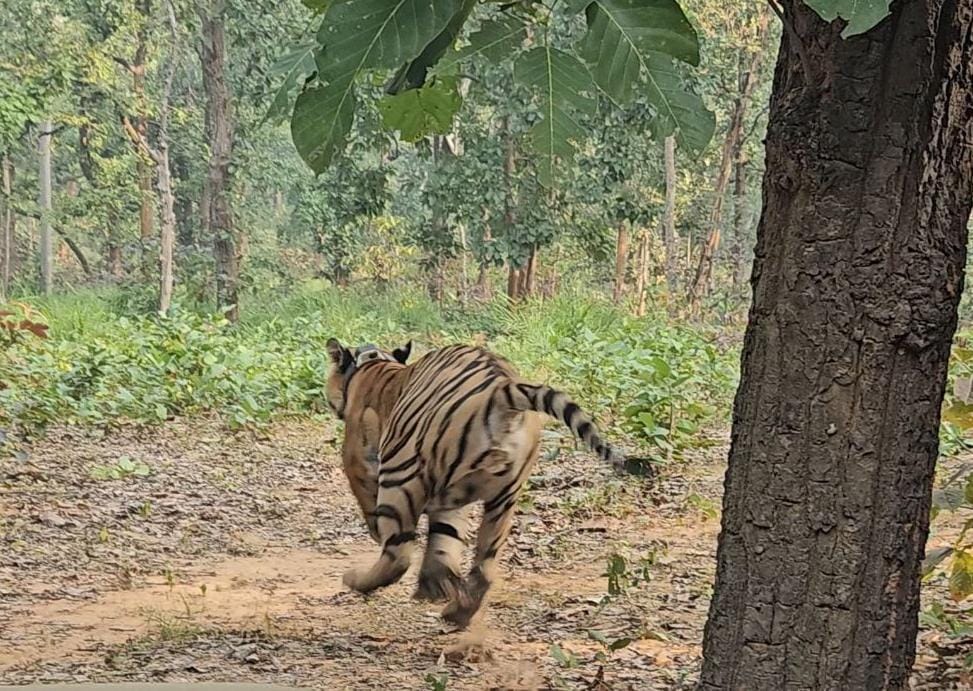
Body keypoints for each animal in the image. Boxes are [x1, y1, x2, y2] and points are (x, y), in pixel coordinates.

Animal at [322, 338, 636, 628]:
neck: (373, 365)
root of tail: (502, 390)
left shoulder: (357, 460)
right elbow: (444, 541)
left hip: (400, 473)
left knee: (398, 557)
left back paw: (357, 580)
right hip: (502, 499)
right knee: (482, 567)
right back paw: (454, 610)